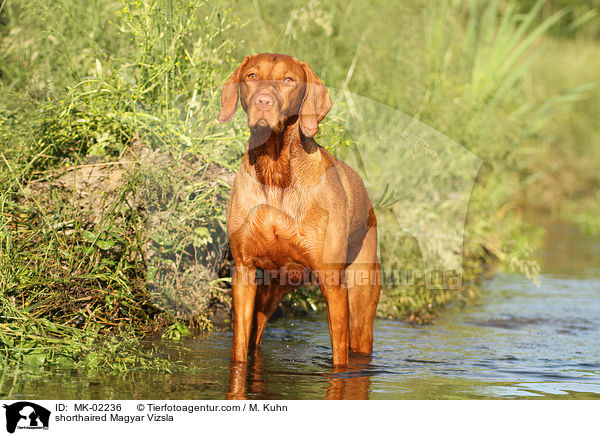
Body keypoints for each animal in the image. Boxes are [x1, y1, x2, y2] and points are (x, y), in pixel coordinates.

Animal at [219, 54, 380, 368]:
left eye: (288, 80)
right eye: (252, 76)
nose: (263, 102)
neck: (275, 168)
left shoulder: (333, 284)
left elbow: (339, 360)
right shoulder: (244, 271)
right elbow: (239, 350)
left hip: (361, 300)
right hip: (271, 289)